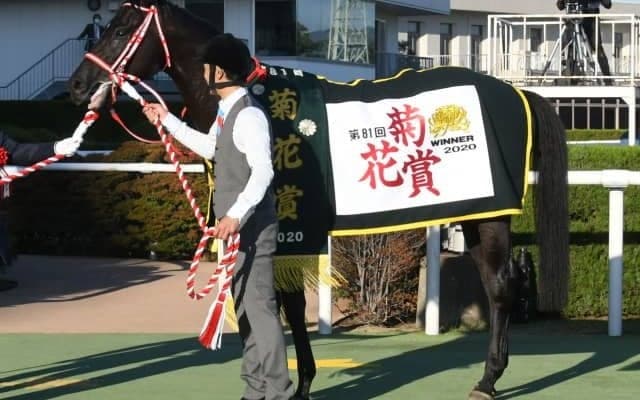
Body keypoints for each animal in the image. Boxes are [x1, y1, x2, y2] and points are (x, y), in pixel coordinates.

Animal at [68, 1, 569, 399]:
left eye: (119, 31)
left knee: (501, 287)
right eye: (102, 26)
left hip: (491, 215)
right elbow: (287, 306)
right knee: (495, 285)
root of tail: (515, 91)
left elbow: (280, 305)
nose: (77, 86)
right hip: (478, 211)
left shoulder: (286, 227)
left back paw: (488, 380)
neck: (257, 101)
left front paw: (294, 385)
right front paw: (301, 381)